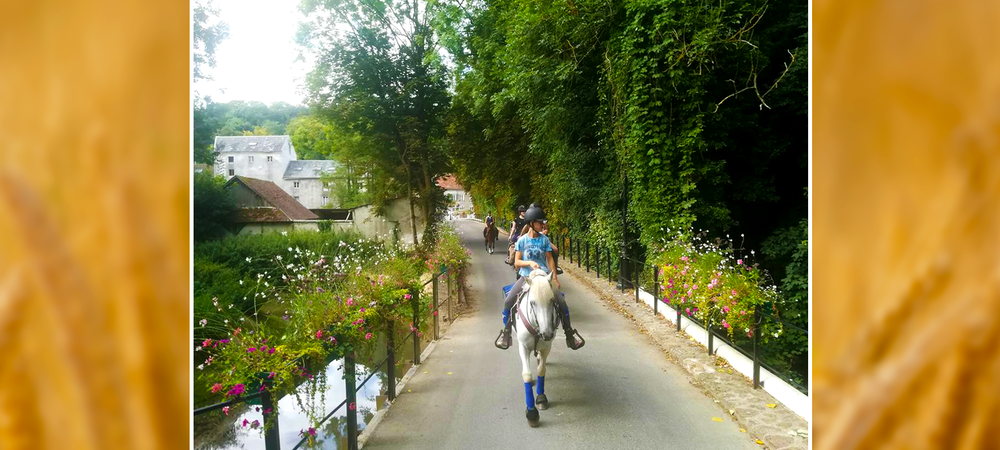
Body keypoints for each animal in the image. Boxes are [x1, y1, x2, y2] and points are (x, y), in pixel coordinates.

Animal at [512, 268, 560, 428]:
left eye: (552, 301)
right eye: (533, 303)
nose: (547, 334)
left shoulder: (546, 347)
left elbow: (541, 370)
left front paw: (541, 398)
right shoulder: (523, 346)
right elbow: (527, 374)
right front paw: (532, 413)